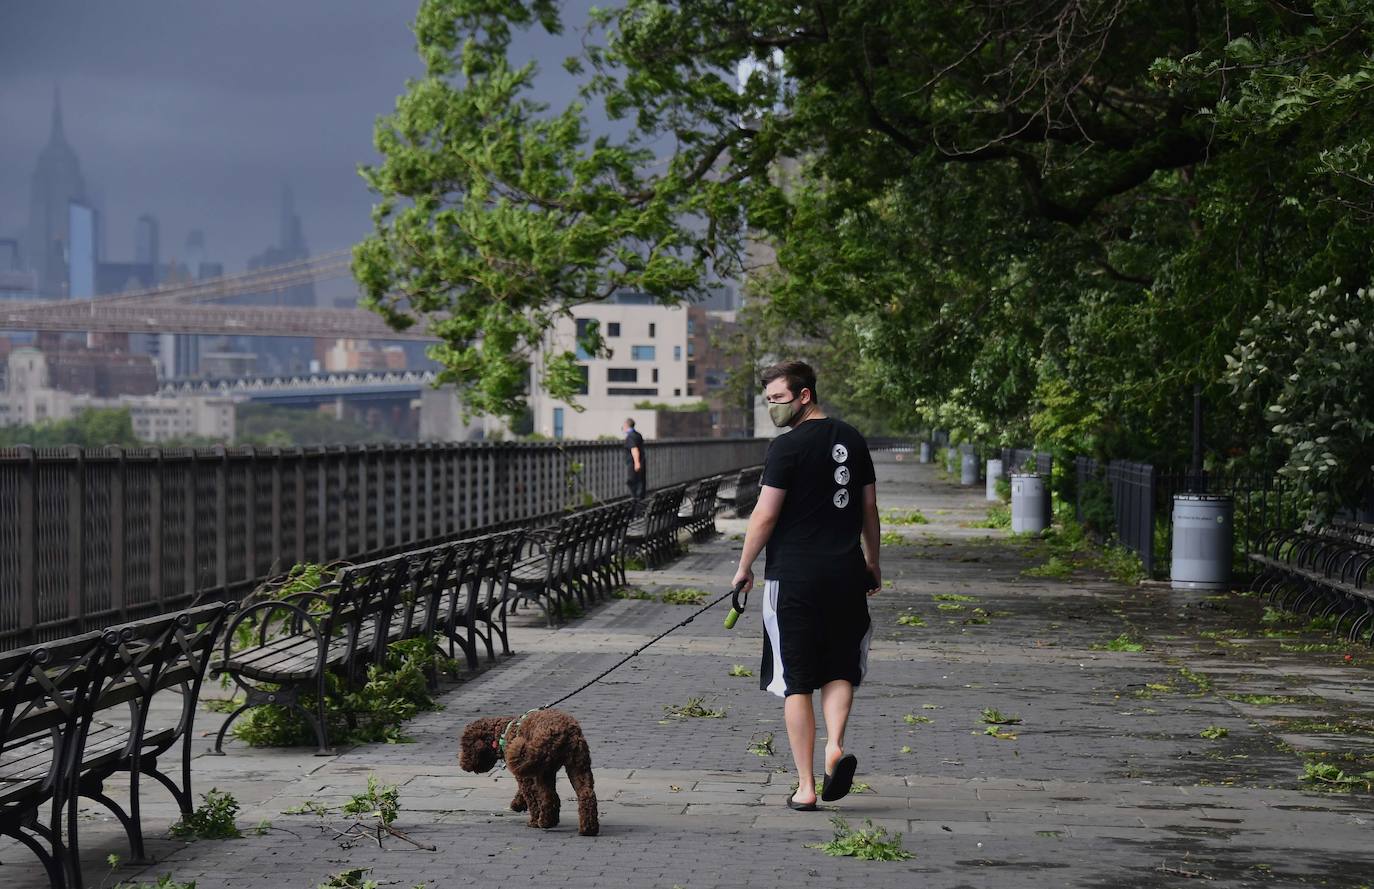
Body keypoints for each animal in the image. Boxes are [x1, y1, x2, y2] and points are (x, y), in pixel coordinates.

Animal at [458, 709, 599, 840]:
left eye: (465, 747)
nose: (462, 765)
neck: (503, 732)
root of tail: (563, 732)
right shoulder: (525, 771)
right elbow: (523, 793)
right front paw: (517, 804)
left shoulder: (524, 775)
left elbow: (531, 798)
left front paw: (532, 821)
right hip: (577, 765)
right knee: (586, 794)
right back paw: (588, 829)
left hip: (543, 770)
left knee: (549, 797)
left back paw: (545, 822)